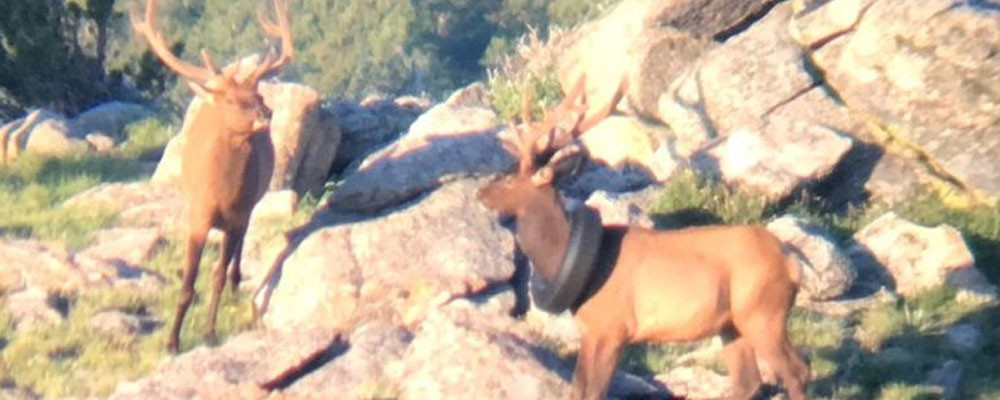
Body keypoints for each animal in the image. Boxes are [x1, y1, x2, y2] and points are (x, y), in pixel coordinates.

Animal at [129, 0, 292, 354]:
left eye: (259, 96)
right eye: (231, 99)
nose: (266, 114)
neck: (222, 193)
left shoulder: (237, 214)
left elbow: (216, 275)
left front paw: (209, 333)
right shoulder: (199, 216)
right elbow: (188, 284)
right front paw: (172, 342)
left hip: (251, 205)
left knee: (238, 249)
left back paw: (235, 282)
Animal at [476, 76, 812, 398]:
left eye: (510, 180)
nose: (482, 192)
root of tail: (791, 262)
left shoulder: (612, 328)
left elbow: (594, 392)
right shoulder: (590, 331)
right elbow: (577, 390)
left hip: (762, 311)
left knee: (797, 372)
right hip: (732, 323)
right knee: (749, 383)